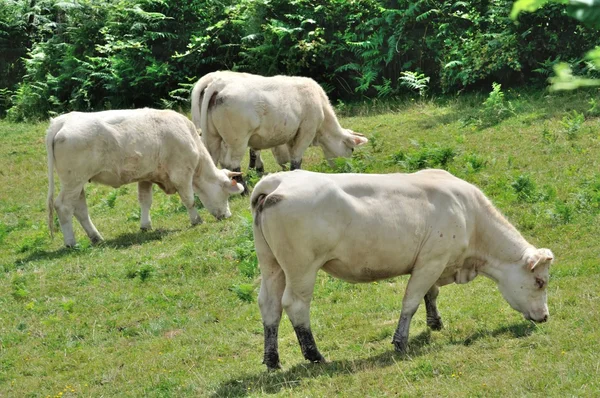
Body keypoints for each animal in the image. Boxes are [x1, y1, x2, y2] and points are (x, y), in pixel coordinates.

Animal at [45, 107, 245, 247]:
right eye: (226, 194)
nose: (227, 215)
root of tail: (62, 120)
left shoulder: (146, 177)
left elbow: (145, 201)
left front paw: (145, 225)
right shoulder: (181, 174)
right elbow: (189, 199)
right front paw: (196, 220)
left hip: (78, 183)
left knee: (80, 209)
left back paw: (96, 237)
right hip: (73, 181)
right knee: (63, 206)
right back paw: (71, 242)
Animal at [198, 73, 366, 183]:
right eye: (352, 149)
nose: (349, 170)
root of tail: (219, 85)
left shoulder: (292, 135)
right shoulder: (306, 131)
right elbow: (296, 158)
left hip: (213, 138)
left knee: (214, 160)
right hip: (237, 140)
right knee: (232, 162)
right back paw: (242, 189)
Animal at [250, 169, 552, 370]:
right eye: (540, 282)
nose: (546, 317)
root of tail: (278, 180)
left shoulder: (433, 262)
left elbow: (431, 294)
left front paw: (435, 323)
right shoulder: (432, 260)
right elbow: (412, 300)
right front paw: (400, 341)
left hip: (271, 264)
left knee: (269, 305)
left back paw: (272, 360)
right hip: (302, 267)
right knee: (295, 305)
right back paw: (315, 355)